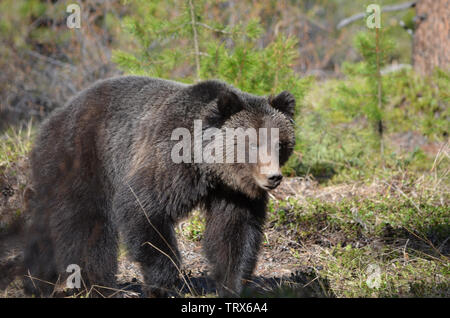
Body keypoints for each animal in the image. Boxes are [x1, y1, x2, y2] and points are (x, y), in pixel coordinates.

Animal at [22, 76, 296, 296]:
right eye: (253, 144)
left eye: (280, 144)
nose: (273, 177)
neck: (208, 167)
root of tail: (52, 118)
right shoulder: (170, 160)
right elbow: (142, 208)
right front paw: (164, 283)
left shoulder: (233, 192)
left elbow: (234, 231)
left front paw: (232, 285)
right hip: (85, 159)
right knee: (86, 224)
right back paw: (97, 285)